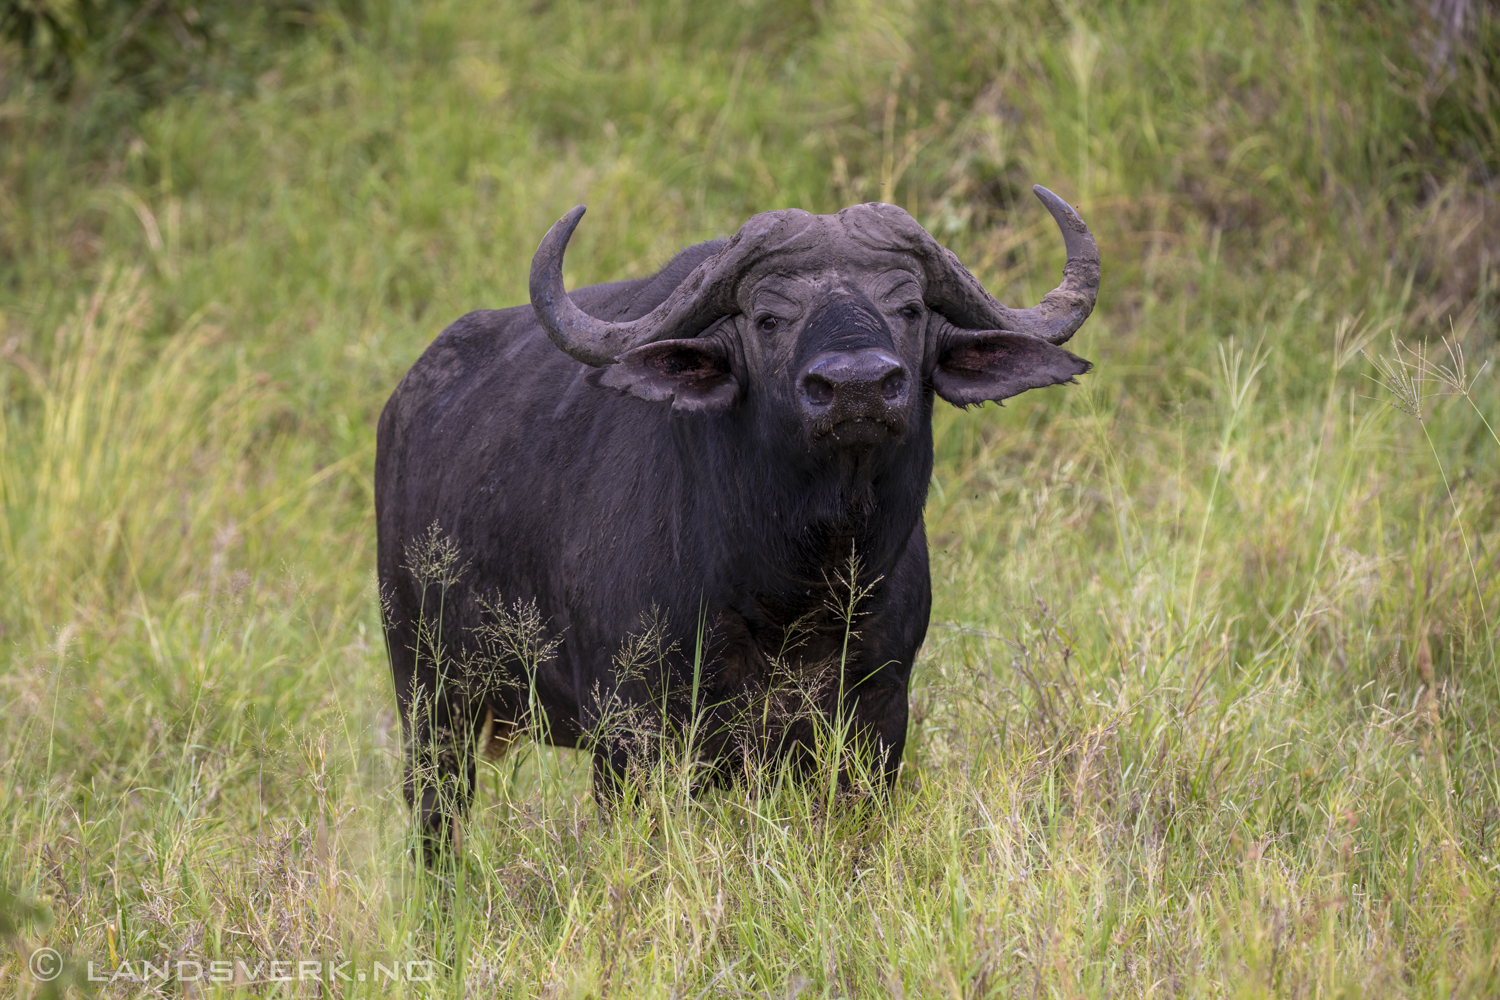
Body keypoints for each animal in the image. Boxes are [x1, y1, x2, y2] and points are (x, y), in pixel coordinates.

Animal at [375, 185, 1104, 851]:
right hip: (428, 697)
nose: (859, 386)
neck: (789, 583)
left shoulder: (877, 715)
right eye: (768, 318)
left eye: (909, 307)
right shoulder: (631, 729)